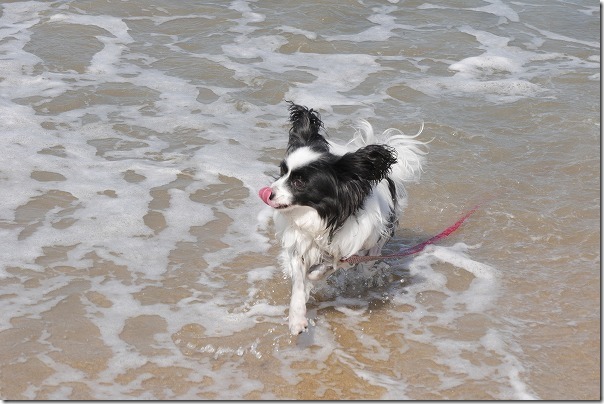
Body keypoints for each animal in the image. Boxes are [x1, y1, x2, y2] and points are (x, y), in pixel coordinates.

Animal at [258, 102, 424, 334]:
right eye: (282, 172)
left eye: (299, 182)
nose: (267, 193)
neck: (322, 218)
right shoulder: (300, 246)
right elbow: (299, 283)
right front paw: (296, 318)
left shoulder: (352, 251)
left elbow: (327, 267)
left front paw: (314, 278)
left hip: (375, 245)